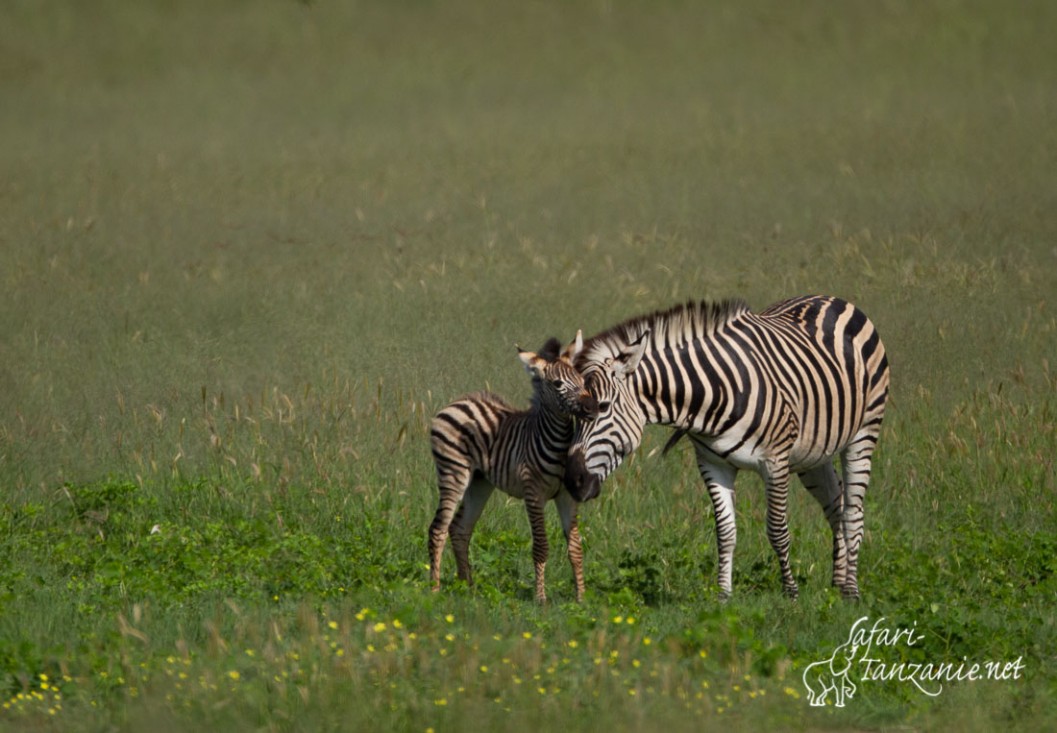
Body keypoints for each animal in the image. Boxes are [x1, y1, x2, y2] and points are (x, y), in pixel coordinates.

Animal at [427, 334, 596, 605]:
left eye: (582, 381)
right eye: (558, 384)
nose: (593, 407)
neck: (559, 444)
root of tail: (459, 400)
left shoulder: (567, 496)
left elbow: (576, 548)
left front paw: (581, 598)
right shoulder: (533, 494)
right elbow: (541, 546)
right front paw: (541, 598)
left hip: (480, 482)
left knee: (460, 529)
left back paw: (468, 587)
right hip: (453, 472)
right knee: (438, 529)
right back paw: (434, 589)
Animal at [566, 294, 887, 596]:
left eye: (603, 407)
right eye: (574, 412)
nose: (574, 481)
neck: (710, 396)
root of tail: (831, 299)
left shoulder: (775, 462)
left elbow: (777, 530)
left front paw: (791, 593)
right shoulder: (713, 464)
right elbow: (725, 532)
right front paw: (723, 596)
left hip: (863, 433)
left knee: (853, 512)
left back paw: (851, 591)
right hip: (814, 453)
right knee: (836, 504)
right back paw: (838, 583)